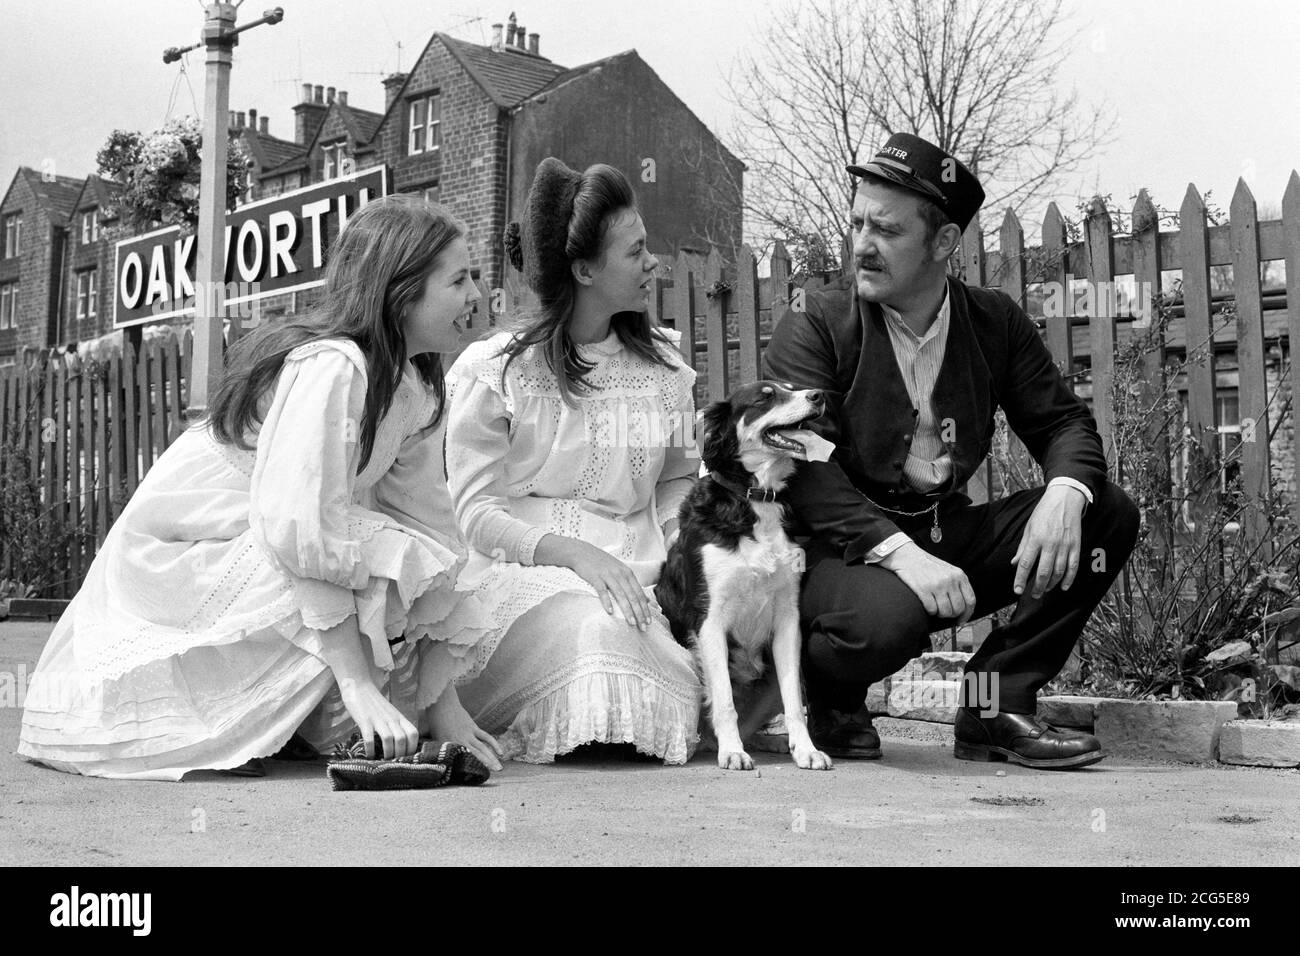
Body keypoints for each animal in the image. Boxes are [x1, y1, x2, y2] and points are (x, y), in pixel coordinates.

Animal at [655, 382, 837, 770]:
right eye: (765, 396)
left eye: (791, 387)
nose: (818, 395)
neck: (756, 498)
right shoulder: (709, 619)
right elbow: (724, 700)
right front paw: (733, 752)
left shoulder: (787, 620)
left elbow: (793, 701)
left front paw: (807, 749)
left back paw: (773, 743)